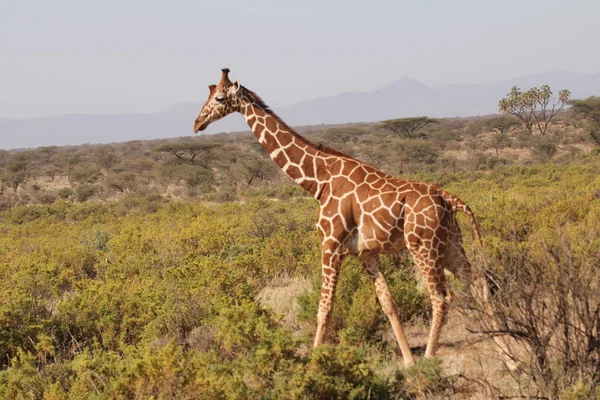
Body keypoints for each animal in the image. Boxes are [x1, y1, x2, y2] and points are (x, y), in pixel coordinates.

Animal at [193, 68, 506, 366]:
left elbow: (324, 308)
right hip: (451, 243)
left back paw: (431, 357)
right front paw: (407, 360)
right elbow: (388, 304)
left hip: (422, 246)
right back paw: (503, 347)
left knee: (441, 296)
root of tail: (449, 198)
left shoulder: (331, 244)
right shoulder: (365, 253)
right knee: (478, 280)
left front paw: (314, 364)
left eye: (219, 98)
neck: (318, 181)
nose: (197, 123)